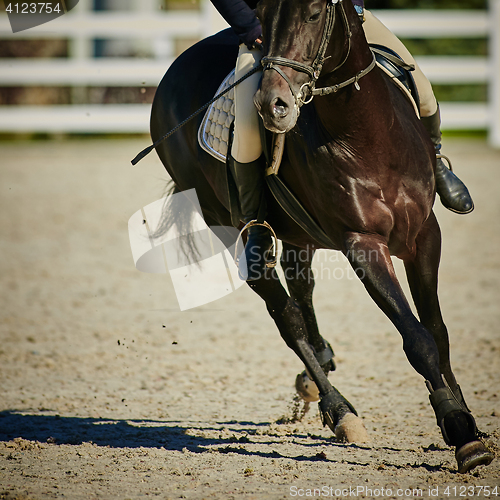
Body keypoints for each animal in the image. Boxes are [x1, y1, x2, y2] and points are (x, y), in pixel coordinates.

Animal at [147, 0, 492, 472]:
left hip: (298, 233)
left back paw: (321, 366)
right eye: (263, 13)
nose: (271, 105)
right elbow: (418, 339)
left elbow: (437, 332)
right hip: (228, 222)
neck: (365, 134)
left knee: (303, 291)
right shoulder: (362, 244)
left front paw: (468, 421)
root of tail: (172, 70)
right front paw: (460, 432)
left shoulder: (425, 234)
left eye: (313, 14)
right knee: (285, 313)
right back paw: (339, 410)